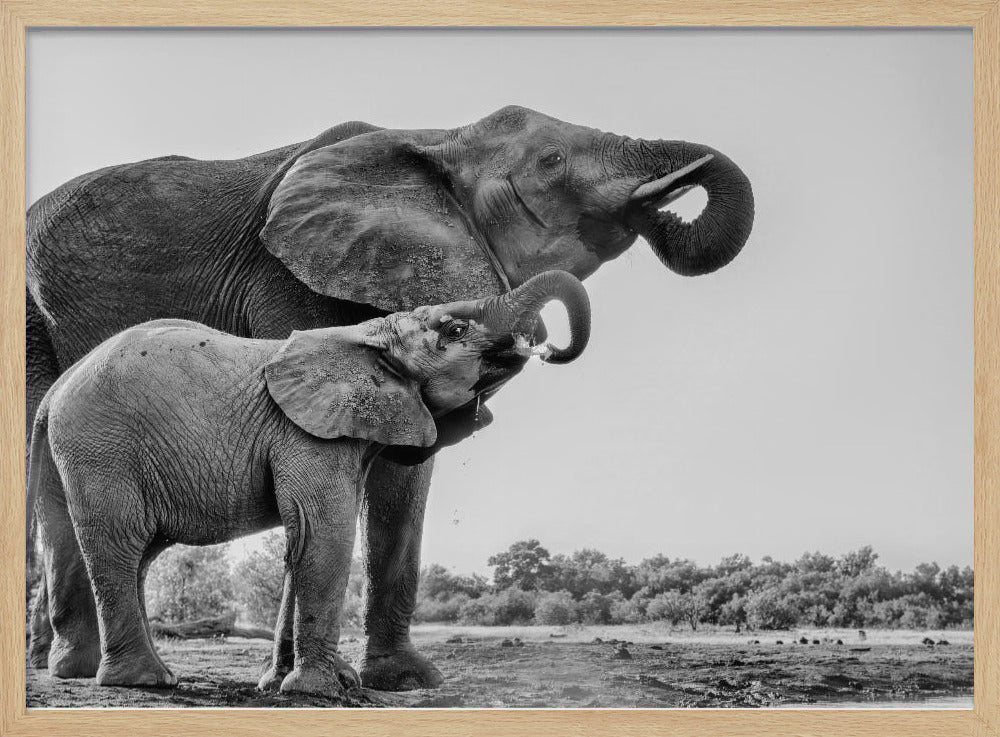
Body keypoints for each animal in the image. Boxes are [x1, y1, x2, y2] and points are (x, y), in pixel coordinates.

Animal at [27, 270, 590, 695]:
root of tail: (55, 391)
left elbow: (302, 543)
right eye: (451, 330)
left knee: (116, 551)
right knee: (121, 545)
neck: (366, 334)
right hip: (101, 447)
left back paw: (103, 673)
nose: (548, 347)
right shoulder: (306, 432)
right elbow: (325, 534)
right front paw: (322, 691)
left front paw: (280, 686)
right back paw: (147, 681)